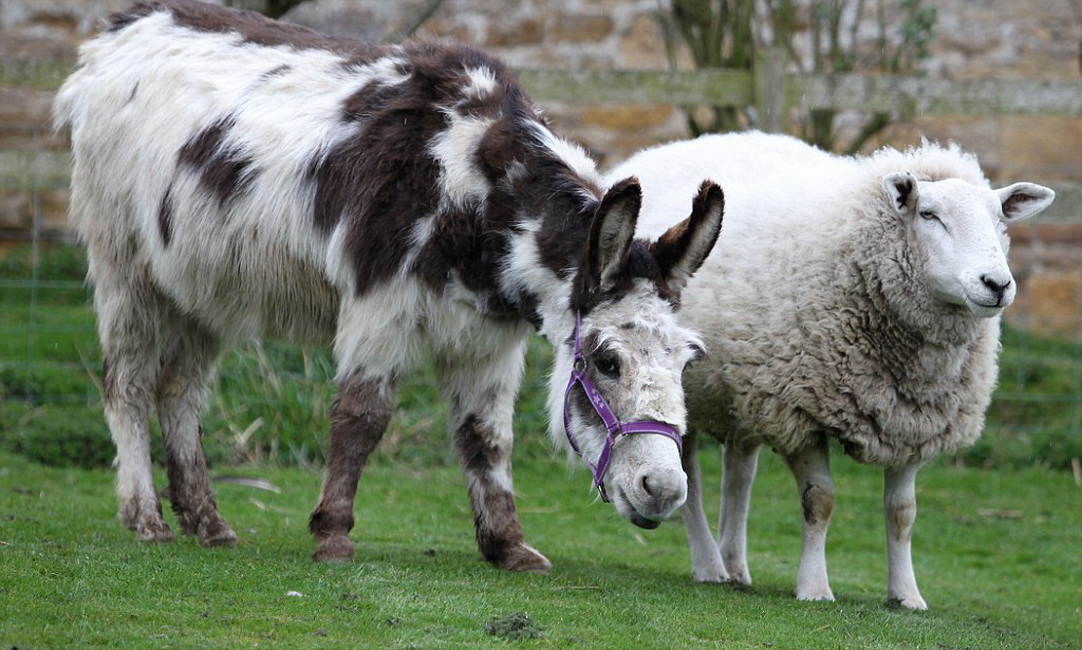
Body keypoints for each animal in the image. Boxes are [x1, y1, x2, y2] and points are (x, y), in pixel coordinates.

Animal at [610, 131, 1056, 609]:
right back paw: (710, 566)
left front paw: (907, 595)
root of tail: (671, 147)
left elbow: (903, 513)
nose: (998, 284)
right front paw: (814, 587)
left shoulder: (911, 421)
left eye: (999, 218)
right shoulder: (799, 409)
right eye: (929, 214)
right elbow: (819, 501)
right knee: (691, 476)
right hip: (687, 389)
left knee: (739, 474)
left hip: (741, 391)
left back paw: (736, 567)